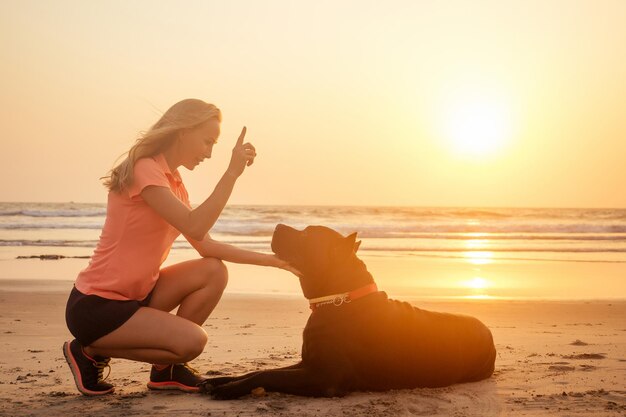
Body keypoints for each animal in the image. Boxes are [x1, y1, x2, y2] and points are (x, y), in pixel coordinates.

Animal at [202, 224, 494, 396]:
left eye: (306, 235)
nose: (276, 225)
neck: (339, 299)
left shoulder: (325, 377)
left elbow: (266, 374)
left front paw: (229, 389)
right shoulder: (308, 363)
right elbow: (260, 371)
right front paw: (222, 380)